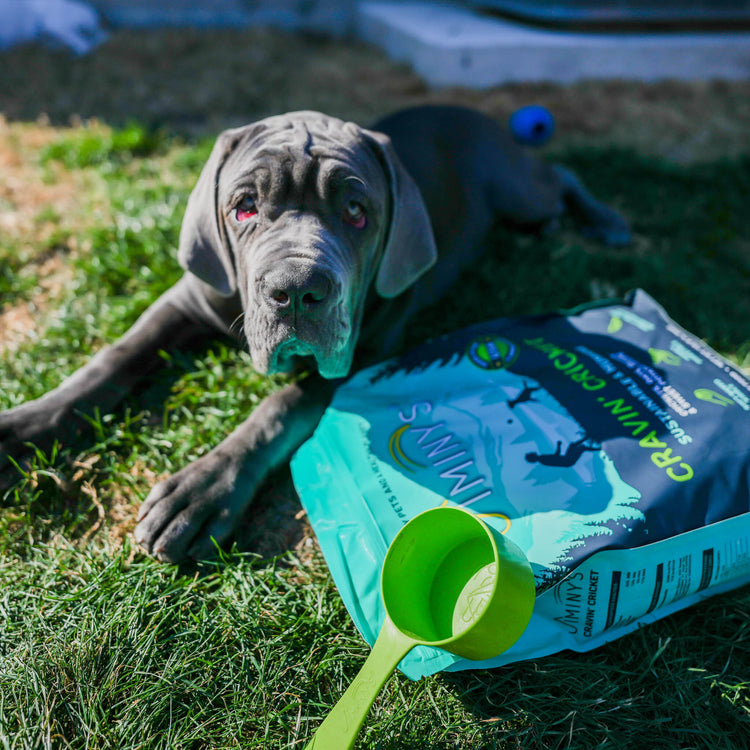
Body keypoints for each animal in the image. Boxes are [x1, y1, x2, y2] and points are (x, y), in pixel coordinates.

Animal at [0, 106, 632, 564]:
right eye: (244, 207)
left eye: (356, 210)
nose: (297, 289)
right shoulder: (187, 298)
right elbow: (116, 357)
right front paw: (24, 426)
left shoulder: (361, 357)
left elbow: (278, 408)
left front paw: (200, 492)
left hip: (519, 191)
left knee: (561, 177)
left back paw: (607, 222)